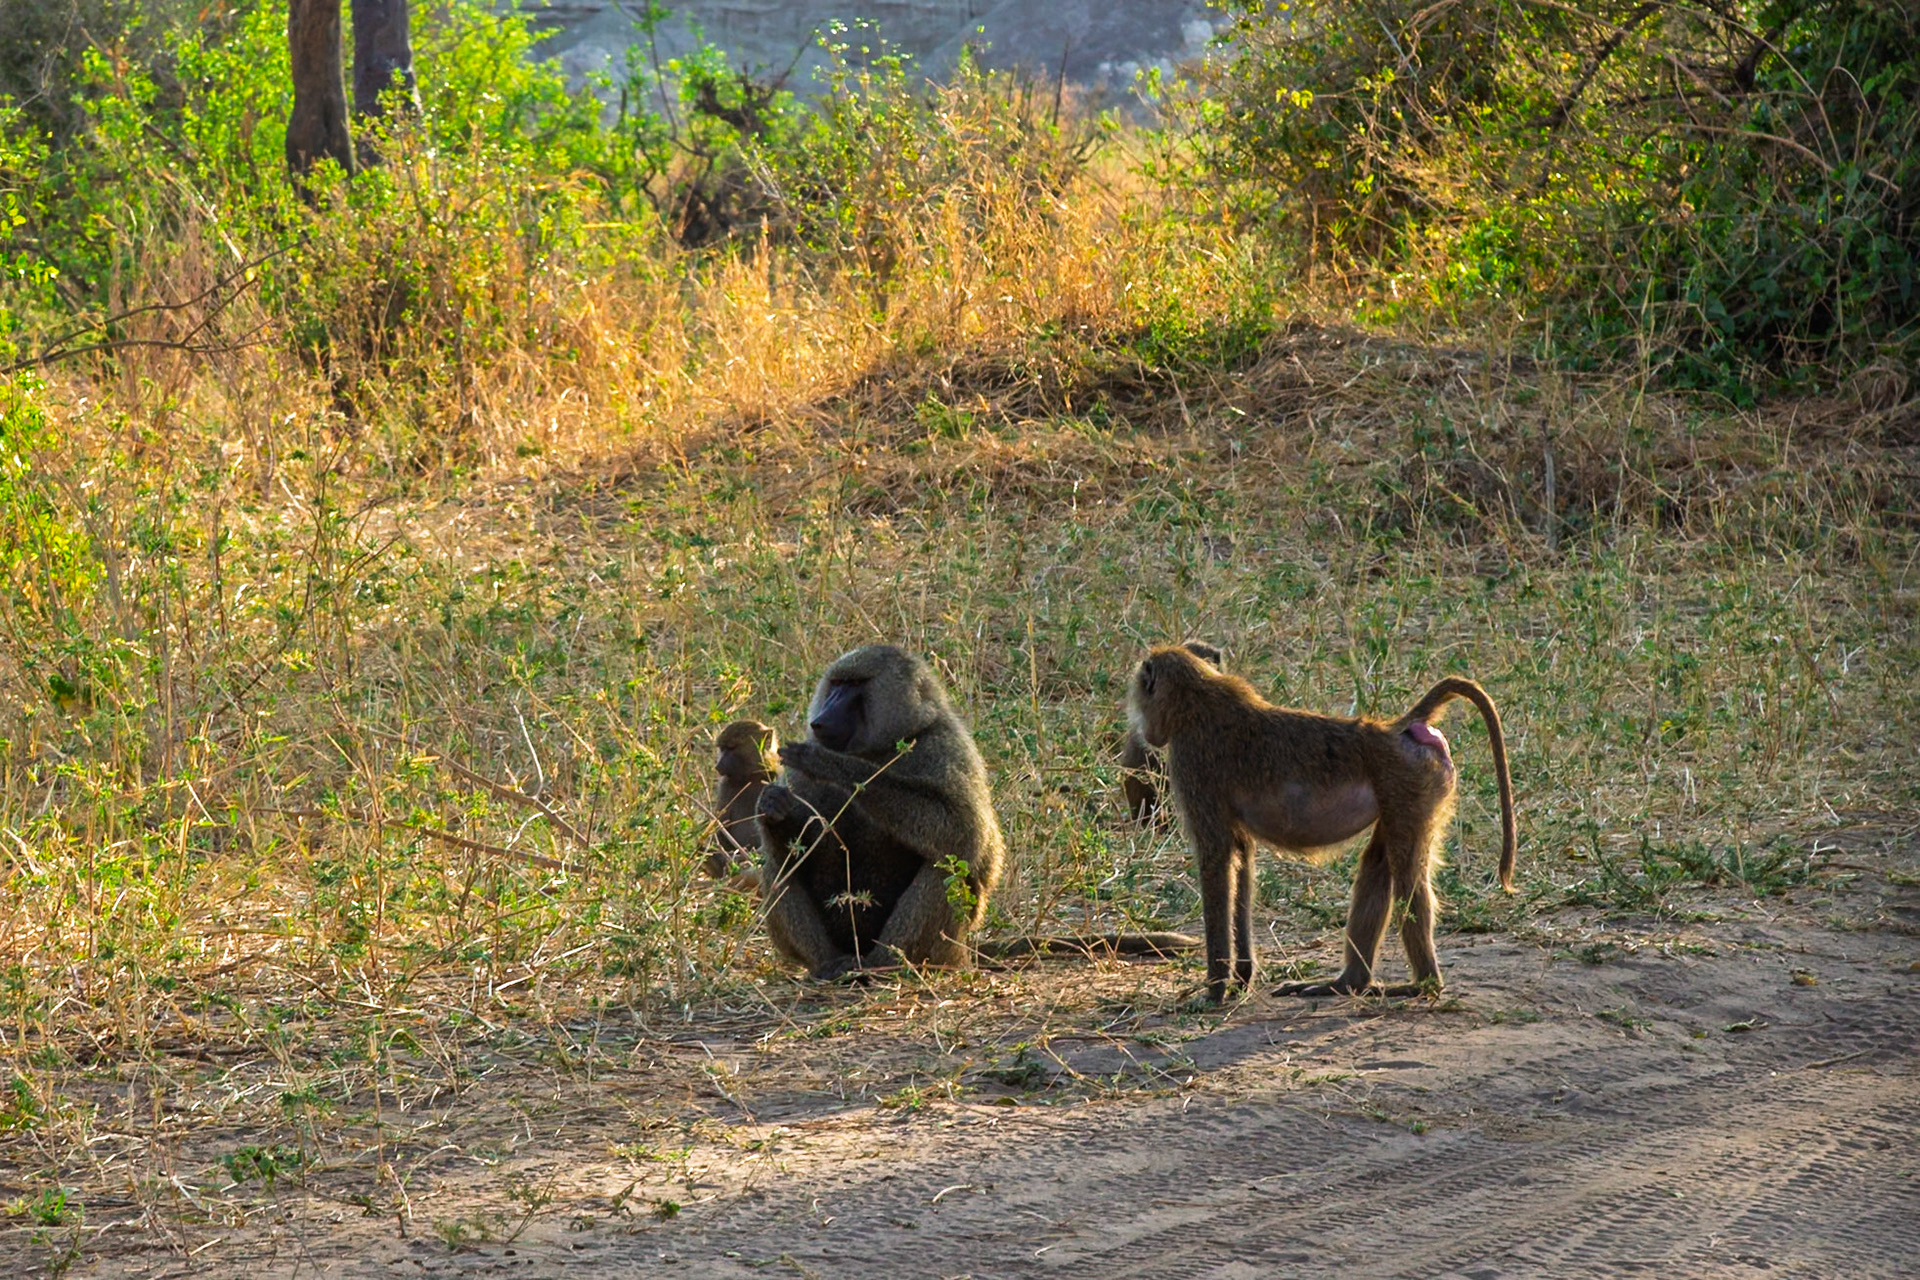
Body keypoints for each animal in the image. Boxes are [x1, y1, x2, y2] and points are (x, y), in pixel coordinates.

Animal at [703, 719, 777, 890]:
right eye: (722, 748)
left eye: (732, 748)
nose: (718, 766)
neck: (753, 776)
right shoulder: (726, 787)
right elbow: (717, 837)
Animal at [755, 644, 1006, 981]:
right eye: (836, 684)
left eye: (856, 685)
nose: (820, 720)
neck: (880, 748)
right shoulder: (797, 777)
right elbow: (792, 851)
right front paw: (774, 808)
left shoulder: (946, 747)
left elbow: (964, 831)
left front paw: (831, 764)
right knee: (777, 866)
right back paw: (829, 964)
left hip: (944, 950)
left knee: (947, 864)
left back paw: (883, 963)